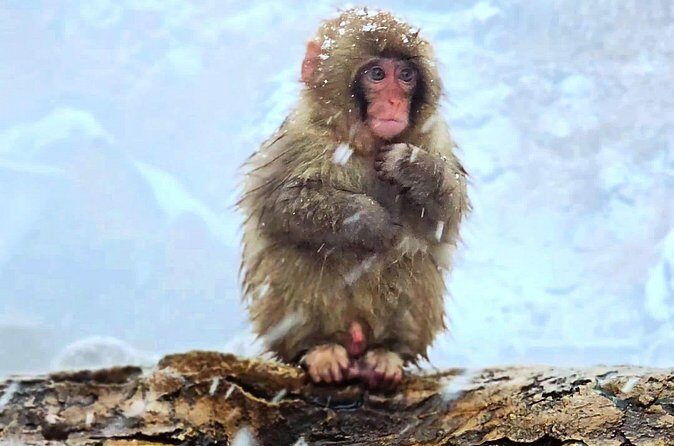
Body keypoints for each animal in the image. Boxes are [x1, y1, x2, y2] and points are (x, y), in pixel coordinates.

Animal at [239, 8, 469, 389]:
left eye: (405, 76)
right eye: (377, 74)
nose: (394, 102)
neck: (364, 143)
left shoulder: (435, 136)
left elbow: (445, 219)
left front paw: (413, 167)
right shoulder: (299, 138)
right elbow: (281, 205)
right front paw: (369, 220)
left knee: (415, 258)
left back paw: (388, 353)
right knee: (298, 252)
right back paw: (318, 349)